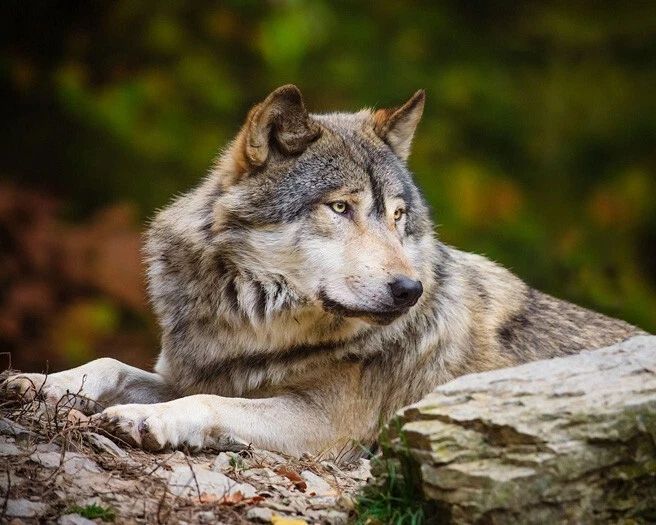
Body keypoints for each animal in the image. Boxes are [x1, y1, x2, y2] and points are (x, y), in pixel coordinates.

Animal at [4, 85, 645, 457]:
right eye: (340, 208)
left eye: (398, 217)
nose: (409, 290)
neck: (253, 323)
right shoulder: (198, 371)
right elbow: (110, 364)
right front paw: (37, 382)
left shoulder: (328, 426)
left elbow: (207, 405)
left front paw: (144, 419)